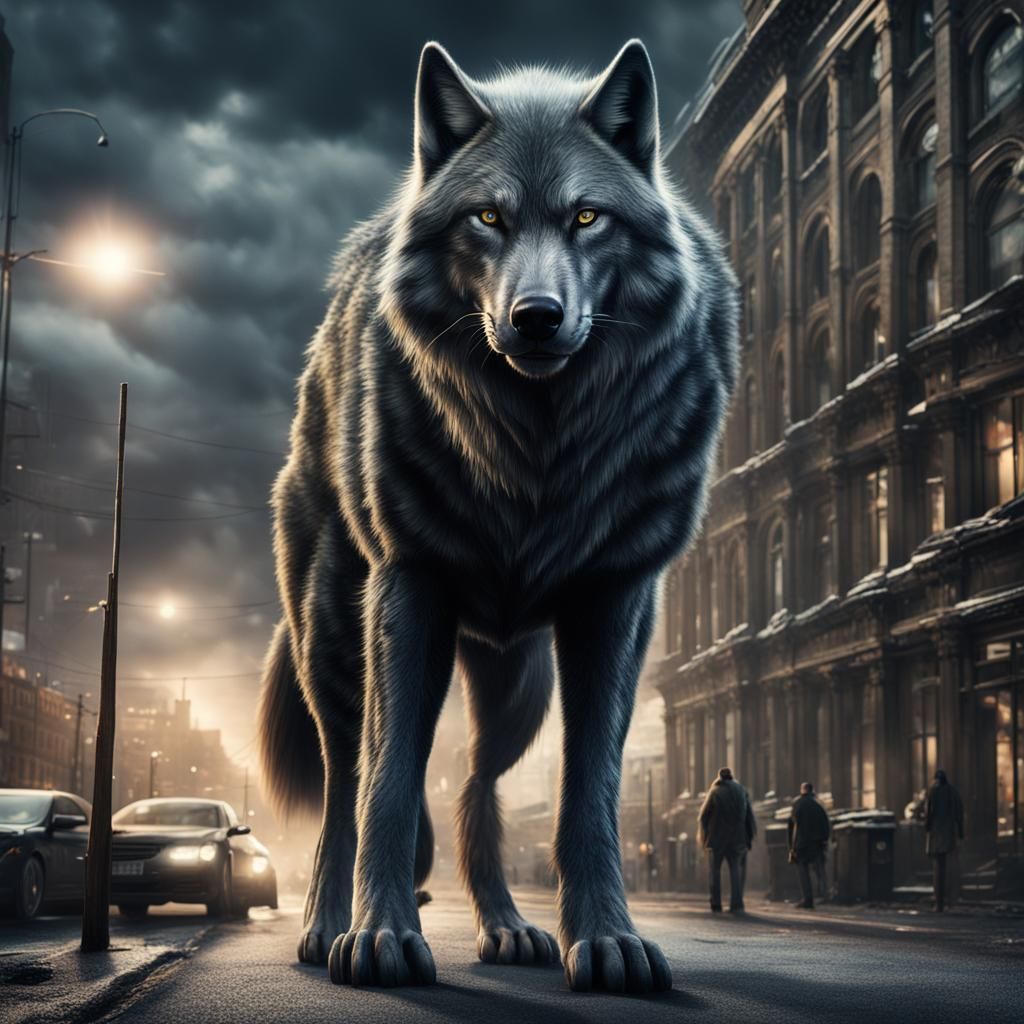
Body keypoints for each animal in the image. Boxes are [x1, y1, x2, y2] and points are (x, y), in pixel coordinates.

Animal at [257, 38, 738, 994]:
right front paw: (379, 937)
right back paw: (326, 926)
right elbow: (387, 783)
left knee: (477, 790)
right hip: (338, 646)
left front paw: (609, 941)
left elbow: (590, 793)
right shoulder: (408, 589)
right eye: (487, 217)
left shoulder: (616, 604)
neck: (535, 450)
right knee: (345, 777)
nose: (537, 317)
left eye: (588, 218)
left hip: (518, 690)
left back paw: (510, 929)